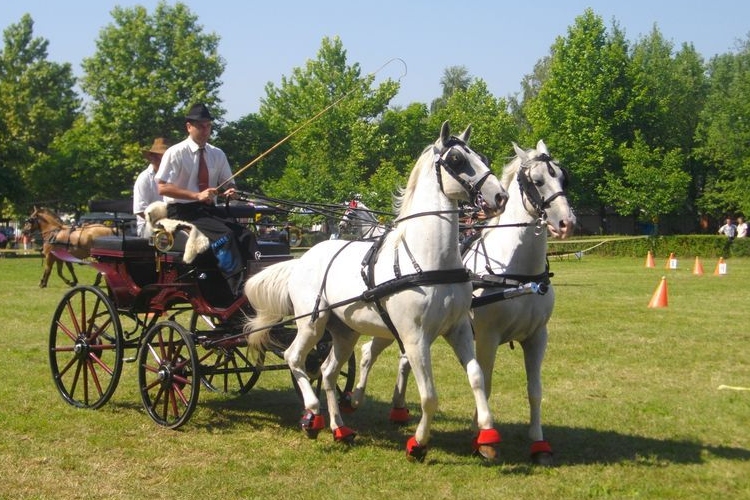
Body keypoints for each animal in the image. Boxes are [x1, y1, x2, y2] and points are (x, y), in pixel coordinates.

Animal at [247, 121, 512, 460]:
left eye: (481, 156)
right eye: (456, 159)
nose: (500, 196)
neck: (428, 260)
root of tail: (302, 259)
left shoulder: (459, 329)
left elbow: (476, 377)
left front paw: (488, 438)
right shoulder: (414, 338)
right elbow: (429, 395)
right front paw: (418, 443)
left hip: (344, 332)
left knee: (328, 372)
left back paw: (340, 428)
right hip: (312, 323)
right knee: (295, 358)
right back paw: (312, 414)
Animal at [352, 138, 576, 464]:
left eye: (562, 177)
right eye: (536, 181)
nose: (566, 222)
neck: (518, 273)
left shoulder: (537, 337)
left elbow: (534, 390)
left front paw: (538, 443)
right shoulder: (487, 336)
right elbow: (487, 380)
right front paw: (481, 436)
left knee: (404, 360)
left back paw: (398, 408)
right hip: (390, 327)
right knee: (369, 351)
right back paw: (354, 397)